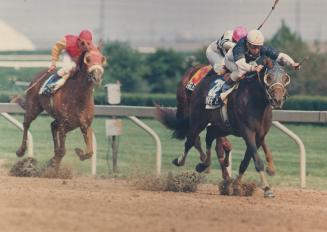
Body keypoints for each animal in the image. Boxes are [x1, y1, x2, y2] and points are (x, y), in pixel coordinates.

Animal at [158, 60, 290, 197]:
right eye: (268, 77)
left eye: (285, 78)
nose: (277, 100)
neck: (256, 102)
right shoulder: (247, 132)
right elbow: (256, 160)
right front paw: (267, 188)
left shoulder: (259, 135)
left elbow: (246, 160)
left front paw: (237, 185)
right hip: (198, 119)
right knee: (192, 140)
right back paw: (184, 161)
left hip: (221, 126)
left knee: (209, 136)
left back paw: (206, 166)